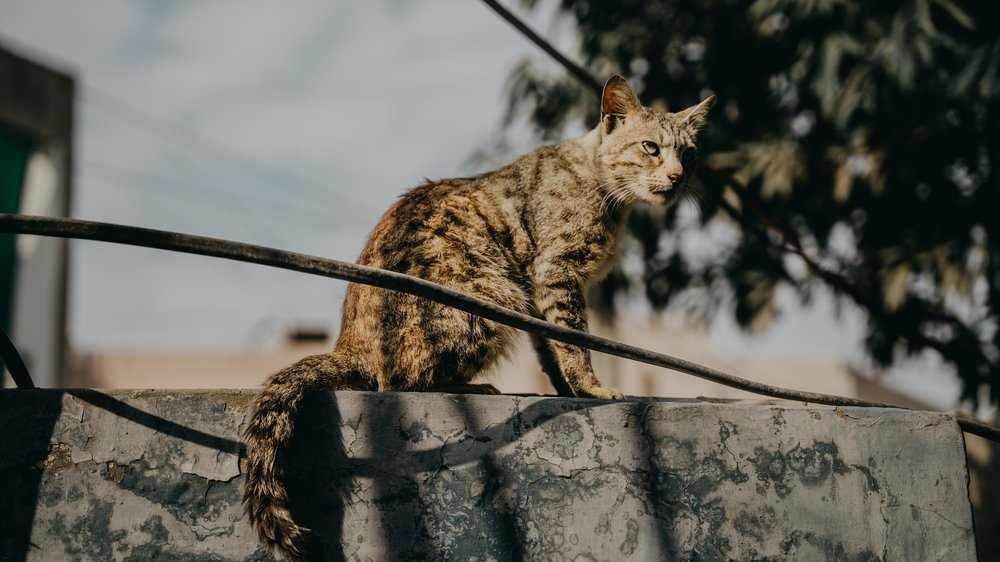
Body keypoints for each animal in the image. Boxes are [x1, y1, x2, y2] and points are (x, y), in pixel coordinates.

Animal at [241, 75, 712, 560]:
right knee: (400, 383)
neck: (602, 187)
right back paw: (470, 385)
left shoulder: (536, 293)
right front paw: (591, 388)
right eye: (651, 148)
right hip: (488, 298)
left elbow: (549, 349)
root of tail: (348, 345)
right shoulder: (556, 273)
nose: (678, 176)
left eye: (690, 154)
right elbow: (572, 340)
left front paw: (567, 390)